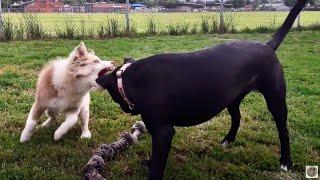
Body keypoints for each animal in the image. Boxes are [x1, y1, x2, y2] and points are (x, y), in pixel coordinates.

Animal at [97, 0, 308, 179]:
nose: (125, 109)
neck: (129, 79)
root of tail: (267, 45)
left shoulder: (163, 132)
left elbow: (157, 166)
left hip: (276, 99)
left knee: (283, 131)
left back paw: (285, 162)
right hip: (232, 99)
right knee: (237, 118)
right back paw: (228, 140)